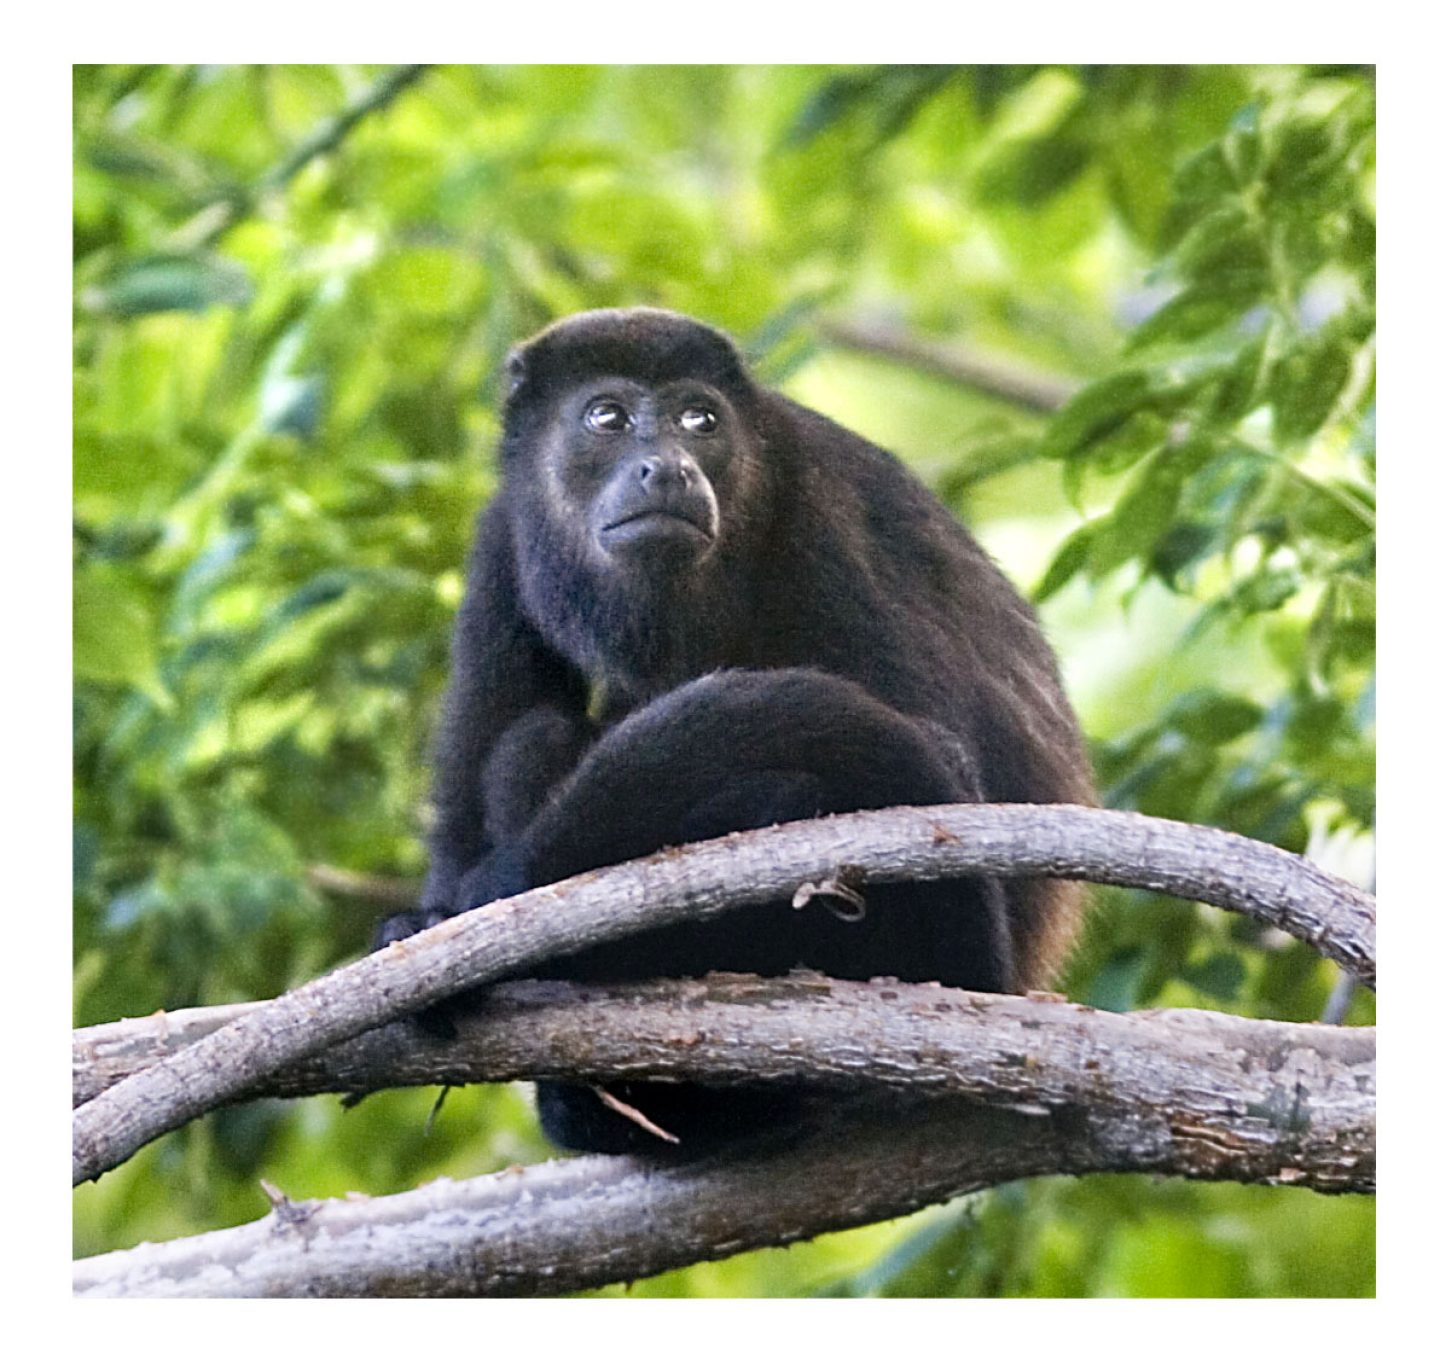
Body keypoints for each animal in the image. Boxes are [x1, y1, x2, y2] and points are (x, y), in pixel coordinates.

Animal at [375, 307, 1094, 1155]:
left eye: (700, 419)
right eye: (605, 416)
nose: (668, 467)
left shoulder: (820, 508)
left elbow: (937, 761)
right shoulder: (501, 537)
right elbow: (466, 792)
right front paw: (426, 923)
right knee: (534, 737)